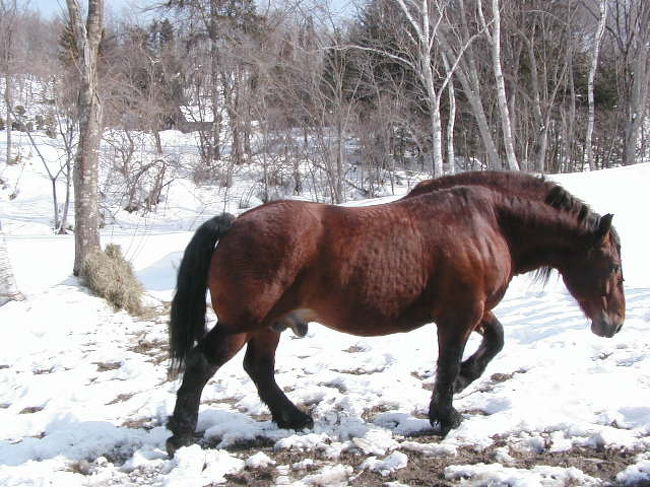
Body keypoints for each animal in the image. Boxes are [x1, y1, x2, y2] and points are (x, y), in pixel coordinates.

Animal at [166, 177, 624, 456]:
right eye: (614, 265)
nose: (614, 323)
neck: (488, 221)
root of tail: (234, 223)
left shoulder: (475, 310)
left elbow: (495, 340)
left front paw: (464, 380)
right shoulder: (459, 315)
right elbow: (448, 361)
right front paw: (446, 414)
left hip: (267, 325)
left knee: (259, 369)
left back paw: (293, 418)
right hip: (241, 324)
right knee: (203, 364)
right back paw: (183, 432)